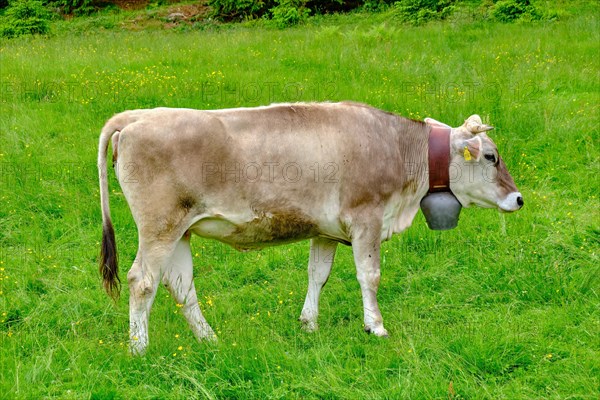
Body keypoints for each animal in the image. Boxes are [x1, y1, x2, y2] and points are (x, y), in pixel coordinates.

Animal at [97, 101, 520, 354]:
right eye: (490, 156)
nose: (518, 199)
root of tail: (136, 116)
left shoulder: (325, 230)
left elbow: (318, 275)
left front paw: (308, 324)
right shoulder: (366, 218)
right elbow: (369, 275)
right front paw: (376, 327)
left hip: (180, 230)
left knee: (182, 286)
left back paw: (211, 339)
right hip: (159, 227)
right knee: (142, 281)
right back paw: (139, 349)